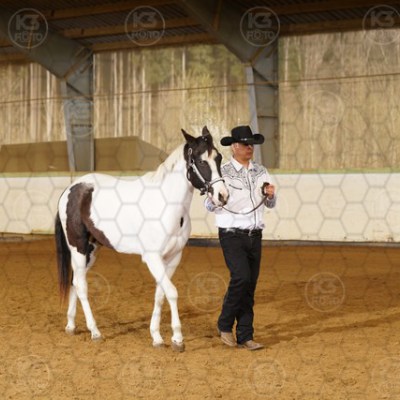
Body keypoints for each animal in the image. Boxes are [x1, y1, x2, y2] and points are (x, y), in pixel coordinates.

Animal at [55, 126, 229, 351]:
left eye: (219, 158)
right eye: (200, 161)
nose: (223, 196)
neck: (167, 205)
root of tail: (72, 188)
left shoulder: (172, 258)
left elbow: (160, 294)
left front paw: (157, 337)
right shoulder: (152, 258)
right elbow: (172, 292)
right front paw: (178, 339)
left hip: (91, 250)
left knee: (75, 281)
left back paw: (71, 325)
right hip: (78, 248)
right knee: (82, 286)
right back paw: (95, 331)